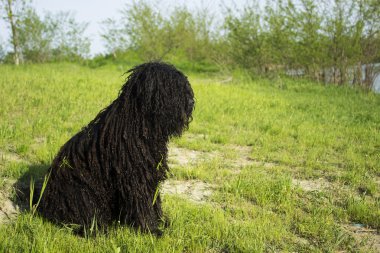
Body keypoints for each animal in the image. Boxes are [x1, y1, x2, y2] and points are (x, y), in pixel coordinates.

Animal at [37, 61, 194, 235]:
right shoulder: (134, 177)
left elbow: (154, 201)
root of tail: (45, 201)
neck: (138, 124)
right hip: (80, 193)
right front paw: (151, 229)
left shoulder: (150, 173)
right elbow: (142, 203)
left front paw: (162, 221)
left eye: (185, 87)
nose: (191, 102)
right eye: (171, 88)